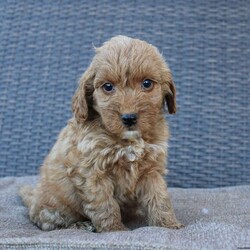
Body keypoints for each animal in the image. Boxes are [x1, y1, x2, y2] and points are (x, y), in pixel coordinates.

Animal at [20, 35, 184, 232]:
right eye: (107, 87)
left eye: (147, 83)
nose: (129, 118)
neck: (128, 140)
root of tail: (32, 200)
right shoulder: (92, 172)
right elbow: (105, 204)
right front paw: (114, 230)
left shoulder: (151, 169)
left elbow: (159, 197)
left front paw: (167, 224)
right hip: (51, 208)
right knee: (53, 222)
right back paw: (81, 224)